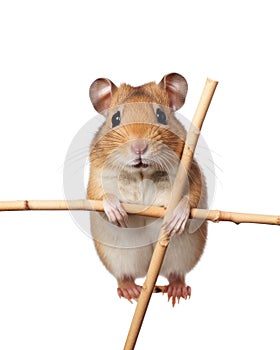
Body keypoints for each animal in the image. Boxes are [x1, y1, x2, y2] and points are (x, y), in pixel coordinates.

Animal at [87, 72, 208, 304]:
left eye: (161, 115)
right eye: (115, 119)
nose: (139, 148)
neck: (142, 173)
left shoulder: (191, 172)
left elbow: (190, 199)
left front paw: (176, 219)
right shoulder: (95, 179)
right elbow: (100, 197)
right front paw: (117, 213)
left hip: (181, 255)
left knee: (176, 273)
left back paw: (177, 290)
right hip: (119, 257)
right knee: (124, 276)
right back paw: (131, 291)